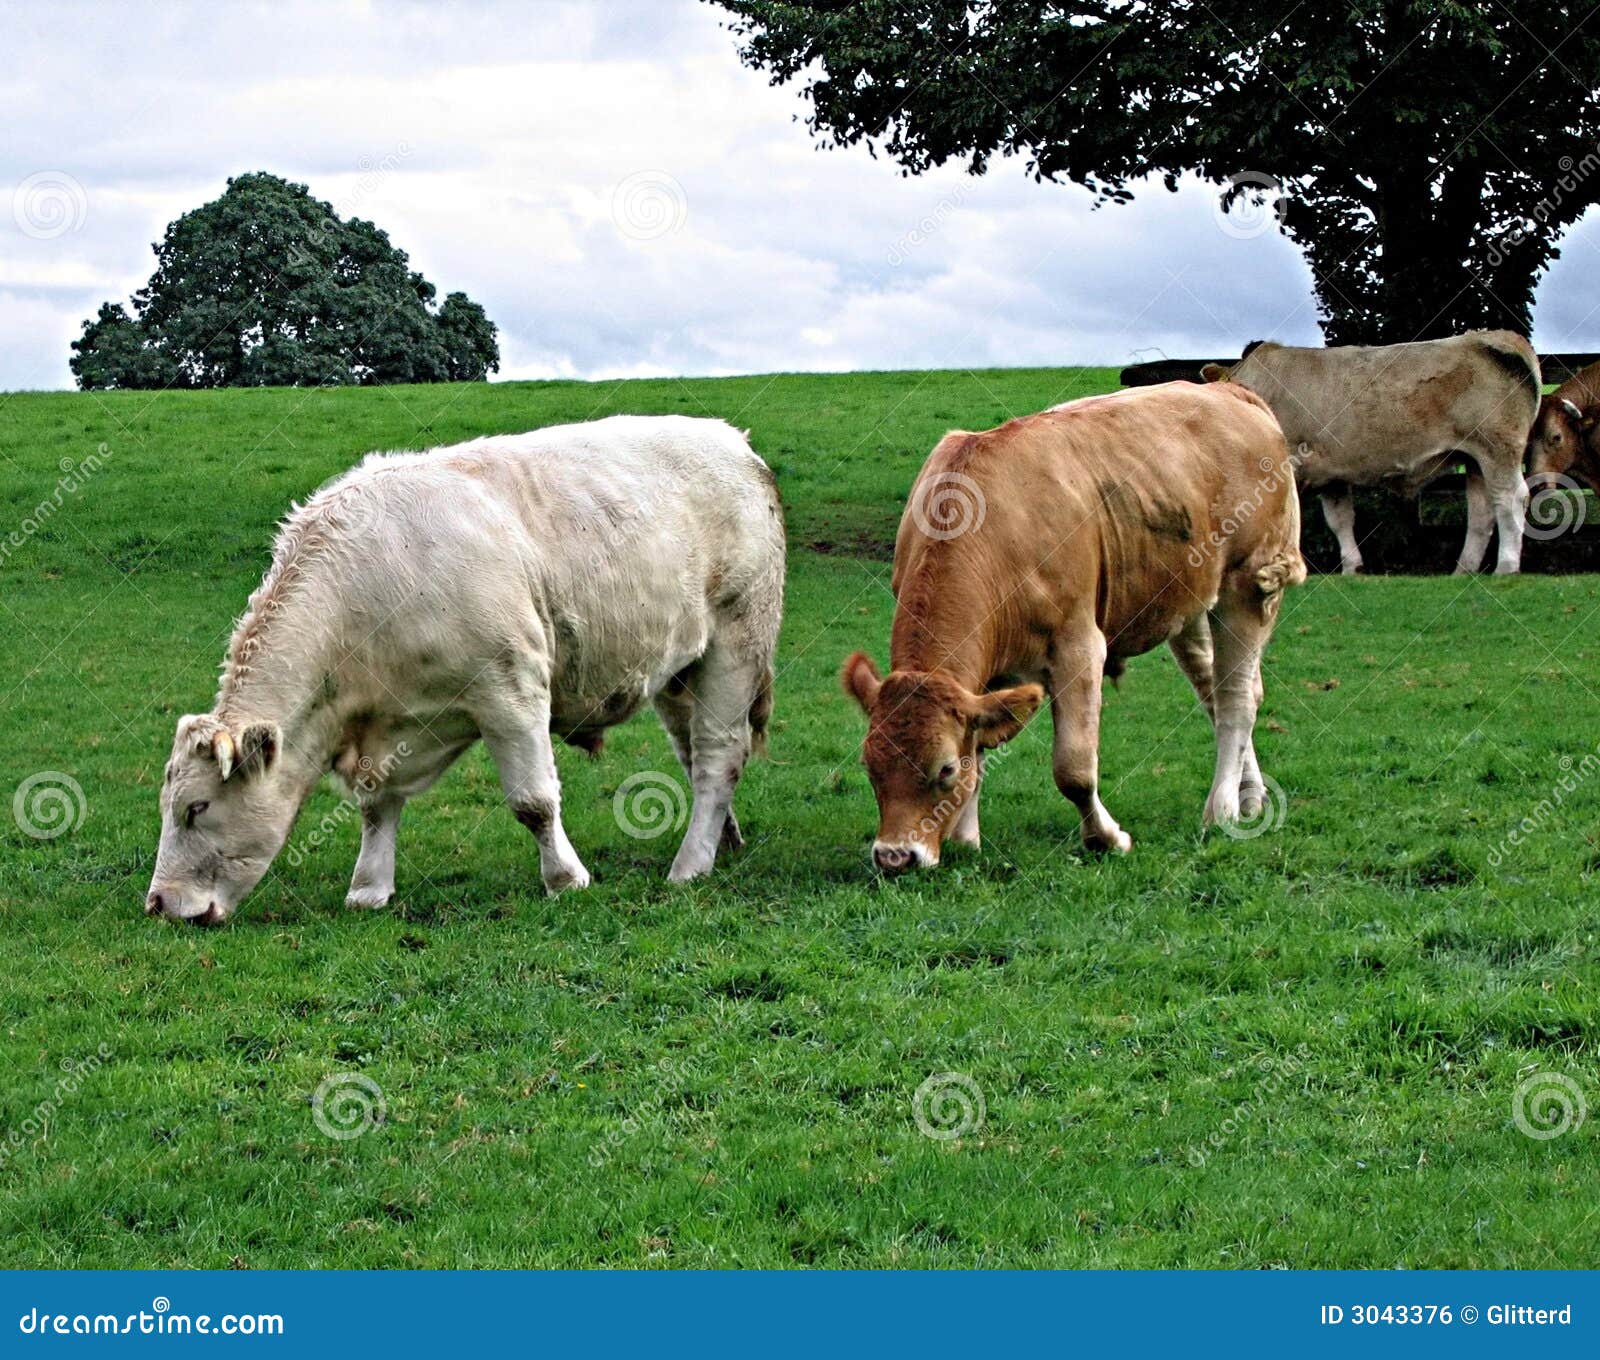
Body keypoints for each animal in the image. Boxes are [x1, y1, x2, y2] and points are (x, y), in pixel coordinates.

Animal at [146, 415, 784, 925]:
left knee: (718, 756)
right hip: (680, 670)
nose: (159, 904)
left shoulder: (511, 688)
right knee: (693, 753)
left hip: (736, 642)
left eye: (196, 808)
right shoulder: (389, 721)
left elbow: (534, 802)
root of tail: (733, 441)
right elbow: (376, 807)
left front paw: (565, 879)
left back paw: (690, 865)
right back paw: (721, 840)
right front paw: (368, 889)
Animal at [841, 381, 1305, 873]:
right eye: (869, 765)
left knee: (1238, 699)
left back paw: (1222, 810)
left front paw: (1107, 838)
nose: (894, 856)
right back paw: (1251, 798)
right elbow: (981, 745)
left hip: (1250, 584)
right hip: (1191, 605)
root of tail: (1228, 390)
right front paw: (967, 838)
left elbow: (1074, 770)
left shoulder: (1078, 646)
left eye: (944, 768)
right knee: (1217, 692)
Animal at [1201, 331, 1541, 575]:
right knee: (1481, 513)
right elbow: (1339, 520)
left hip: (1498, 448)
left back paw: (1507, 566)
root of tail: (1497, 337)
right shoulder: (1331, 475)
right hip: (1473, 459)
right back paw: (1463, 570)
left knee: (1511, 499)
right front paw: (1353, 566)